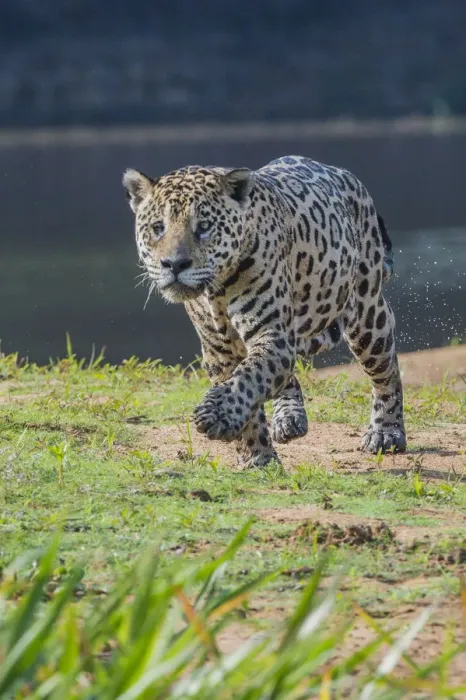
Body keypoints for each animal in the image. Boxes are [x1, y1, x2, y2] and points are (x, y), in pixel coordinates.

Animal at [123, 155, 406, 467]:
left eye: (204, 226)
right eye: (157, 227)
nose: (174, 264)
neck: (216, 291)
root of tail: (345, 174)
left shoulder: (270, 334)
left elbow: (249, 378)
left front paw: (217, 416)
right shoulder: (218, 350)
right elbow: (248, 388)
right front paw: (257, 457)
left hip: (367, 314)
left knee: (386, 373)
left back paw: (387, 433)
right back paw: (290, 418)